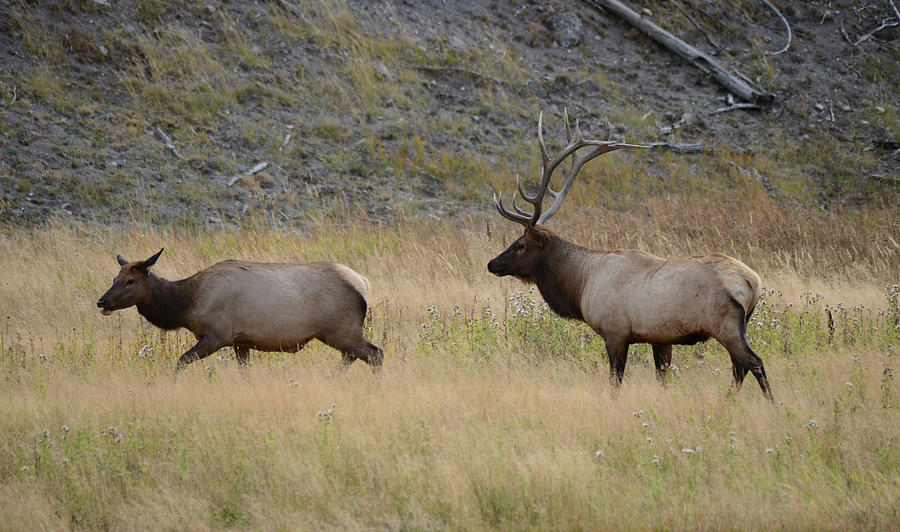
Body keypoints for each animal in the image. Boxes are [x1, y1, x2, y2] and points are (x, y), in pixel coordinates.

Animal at [97, 248, 384, 370]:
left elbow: (181, 361)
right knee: (353, 356)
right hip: (340, 333)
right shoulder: (241, 342)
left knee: (376, 354)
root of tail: (363, 283)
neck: (187, 305)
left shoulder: (218, 335)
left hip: (340, 330)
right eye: (114, 278)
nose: (102, 302)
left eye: (130, 281)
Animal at [486, 110, 772, 402]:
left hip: (726, 325)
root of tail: (753, 281)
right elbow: (663, 377)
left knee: (753, 363)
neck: (581, 285)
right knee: (740, 368)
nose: (492, 263)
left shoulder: (615, 333)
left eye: (520, 244)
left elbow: (615, 381)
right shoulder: (661, 338)